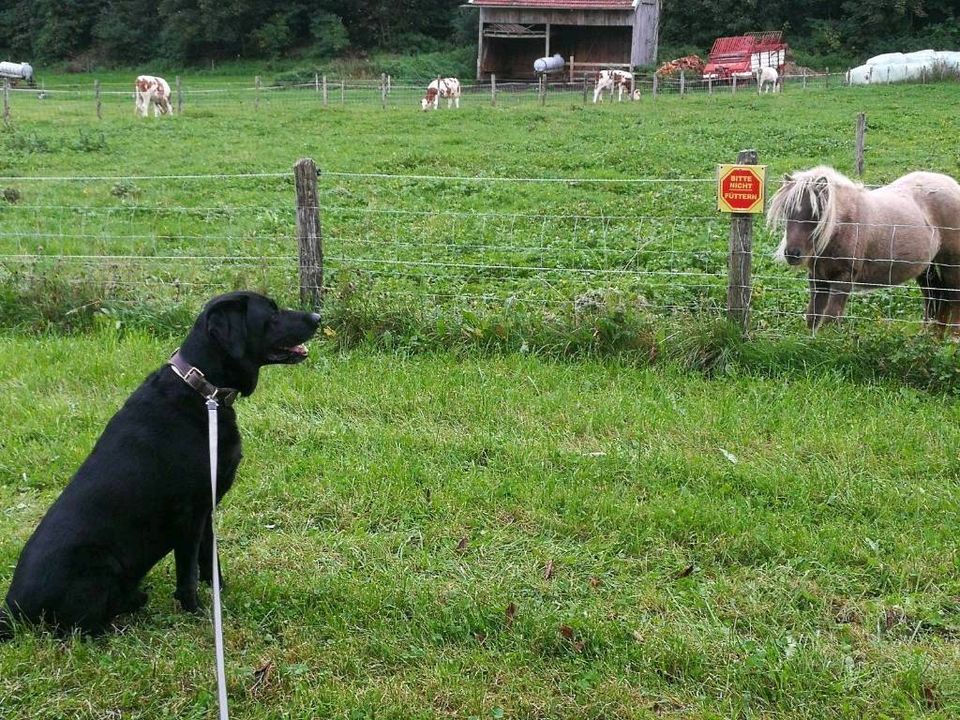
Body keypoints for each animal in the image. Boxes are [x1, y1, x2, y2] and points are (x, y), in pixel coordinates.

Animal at [0, 290, 322, 640]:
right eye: (272, 313)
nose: (317, 317)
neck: (203, 390)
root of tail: (11, 611)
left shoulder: (207, 508)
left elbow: (210, 560)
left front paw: (220, 595)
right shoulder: (189, 514)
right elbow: (188, 572)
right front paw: (196, 612)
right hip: (100, 564)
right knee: (80, 628)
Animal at [764, 166, 960, 334]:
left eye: (816, 213)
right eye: (787, 211)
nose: (792, 253)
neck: (842, 225)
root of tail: (953, 186)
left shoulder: (843, 279)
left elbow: (830, 319)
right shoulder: (818, 278)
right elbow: (813, 317)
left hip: (951, 266)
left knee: (953, 300)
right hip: (926, 268)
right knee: (933, 300)